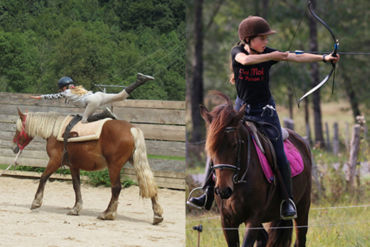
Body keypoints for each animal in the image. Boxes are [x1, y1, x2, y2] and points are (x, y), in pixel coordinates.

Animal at [12, 109, 163, 225]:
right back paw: (157, 215)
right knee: (149, 184)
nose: (14, 148)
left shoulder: (55, 161)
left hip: (114, 166)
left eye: (17, 129)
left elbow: (43, 177)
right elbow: (76, 186)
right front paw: (76, 209)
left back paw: (107, 214)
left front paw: (36, 202)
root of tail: (132, 129)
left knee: (116, 188)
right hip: (136, 162)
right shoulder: (73, 166)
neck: (55, 131)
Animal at [201, 92, 310, 247]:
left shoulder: (253, 219)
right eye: (211, 147)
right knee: (264, 238)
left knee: (300, 238)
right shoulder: (227, 221)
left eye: (234, 145)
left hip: (303, 206)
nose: (223, 190)